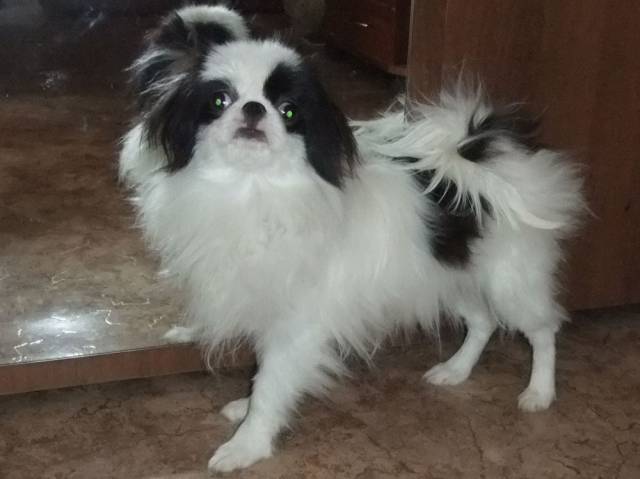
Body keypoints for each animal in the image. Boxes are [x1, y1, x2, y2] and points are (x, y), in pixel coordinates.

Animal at [119, 5, 585, 473]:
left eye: (288, 111)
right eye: (219, 102)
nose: (253, 109)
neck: (252, 190)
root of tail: (477, 155)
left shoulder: (296, 324)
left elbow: (271, 383)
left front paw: (246, 444)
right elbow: (263, 375)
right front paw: (245, 409)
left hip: (509, 283)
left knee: (543, 330)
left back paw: (539, 393)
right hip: (447, 279)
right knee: (482, 322)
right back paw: (455, 371)